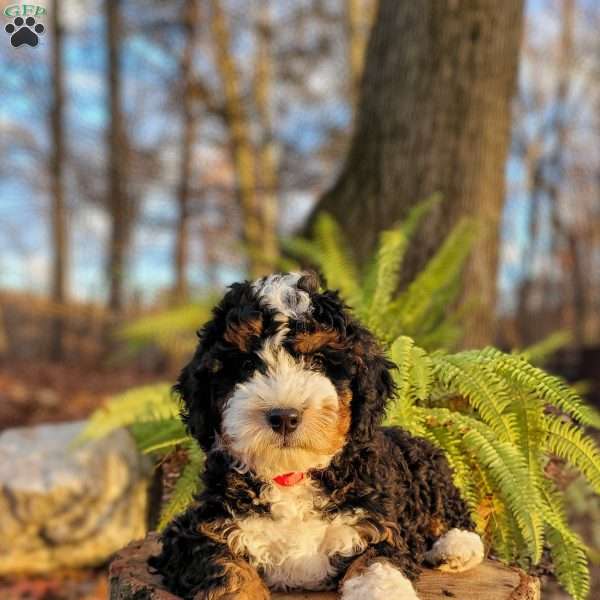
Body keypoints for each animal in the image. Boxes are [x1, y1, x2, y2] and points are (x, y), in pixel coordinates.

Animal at [150, 274, 482, 600]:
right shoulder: (195, 531)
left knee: (453, 512)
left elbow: (378, 562)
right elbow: (228, 568)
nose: (284, 416)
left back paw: (456, 547)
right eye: (246, 365)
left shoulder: (380, 524)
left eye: (319, 362)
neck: (291, 475)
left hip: (428, 468)